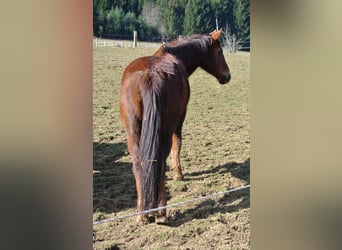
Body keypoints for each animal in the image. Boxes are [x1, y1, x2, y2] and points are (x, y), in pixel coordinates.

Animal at [119, 29, 230, 223]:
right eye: (219, 51)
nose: (227, 76)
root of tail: (149, 75)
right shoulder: (180, 118)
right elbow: (177, 145)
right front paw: (178, 174)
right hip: (165, 130)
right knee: (160, 164)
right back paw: (161, 212)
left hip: (133, 134)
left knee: (139, 165)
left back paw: (142, 213)